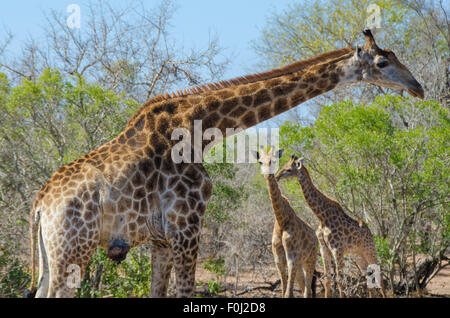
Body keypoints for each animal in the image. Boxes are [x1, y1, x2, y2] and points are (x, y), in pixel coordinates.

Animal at [251, 147, 318, 298]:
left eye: (273, 160)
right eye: (260, 162)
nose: (268, 174)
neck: (281, 220)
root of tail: (317, 238)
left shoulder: (292, 258)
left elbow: (288, 294)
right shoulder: (279, 261)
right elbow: (283, 292)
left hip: (310, 260)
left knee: (308, 291)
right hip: (300, 264)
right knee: (304, 289)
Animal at [276, 157, 384, 298]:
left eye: (289, 169)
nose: (277, 176)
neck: (322, 216)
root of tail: (369, 231)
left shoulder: (337, 249)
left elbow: (339, 280)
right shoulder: (324, 249)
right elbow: (327, 279)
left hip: (369, 249)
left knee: (378, 274)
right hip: (357, 254)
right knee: (367, 275)